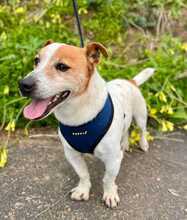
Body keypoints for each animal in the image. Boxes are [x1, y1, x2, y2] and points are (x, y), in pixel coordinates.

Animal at [18, 40, 155, 208]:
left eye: (62, 66)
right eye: (36, 61)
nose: (23, 84)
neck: (78, 116)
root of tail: (129, 81)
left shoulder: (113, 158)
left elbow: (108, 179)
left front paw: (110, 194)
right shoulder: (72, 154)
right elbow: (83, 174)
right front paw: (83, 190)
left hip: (140, 115)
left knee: (142, 131)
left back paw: (143, 144)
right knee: (125, 130)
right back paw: (125, 144)